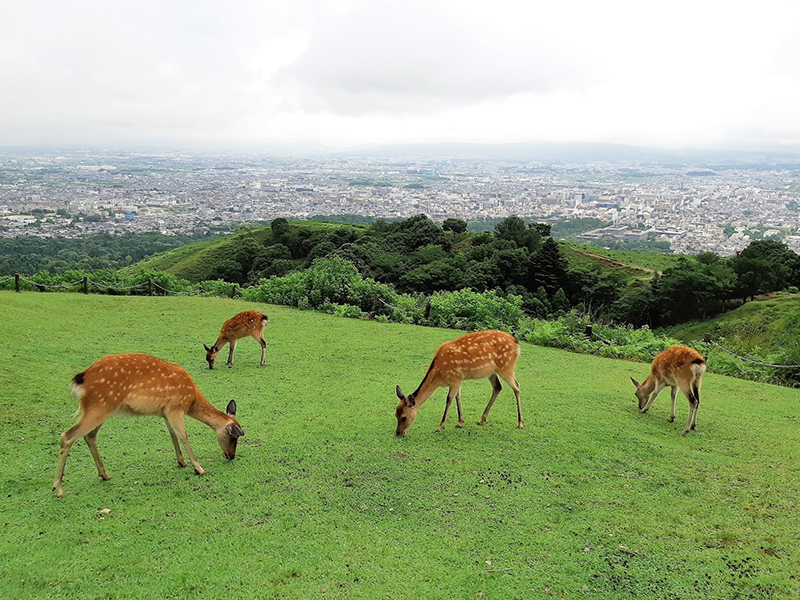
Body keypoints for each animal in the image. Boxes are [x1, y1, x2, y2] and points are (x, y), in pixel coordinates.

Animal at [53, 354, 244, 500]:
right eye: (233, 437)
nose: (232, 456)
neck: (191, 400)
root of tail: (80, 380)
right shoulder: (175, 407)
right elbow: (183, 435)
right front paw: (199, 468)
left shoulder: (165, 412)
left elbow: (172, 434)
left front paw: (182, 462)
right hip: (99, 407)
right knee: (67, 435)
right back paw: (59, 489)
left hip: (102, 408)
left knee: (89, 436)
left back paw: (104, 474)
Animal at [396, 328, 524, 436]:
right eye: (395, 414)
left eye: (403, 417)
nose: (398, 433)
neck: (438, 375)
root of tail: (516, 343)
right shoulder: (458, 380)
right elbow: (458, 396)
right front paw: (460, 422)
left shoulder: (456, 377)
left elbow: (449, 399)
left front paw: (440, 427)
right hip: (492, 372)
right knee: (498, 387)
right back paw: (482, 420)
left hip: (506, 366)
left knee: (517, 386)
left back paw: (520, 423)